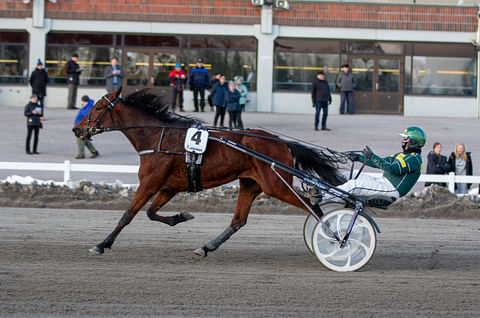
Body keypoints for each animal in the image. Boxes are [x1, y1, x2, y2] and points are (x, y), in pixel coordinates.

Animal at [72, 88, 344, 258]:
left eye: (97, 107)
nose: (77, 129)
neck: (158, 137)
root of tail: (281, 142)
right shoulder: (168, 186)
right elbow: (150, 212)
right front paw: (181, 216)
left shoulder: (149, 183)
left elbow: (127, 215)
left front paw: (101, 244)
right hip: (251, 183)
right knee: (238, 220)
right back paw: (206, 247)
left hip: (274, 185)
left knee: (313, 206)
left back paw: (335, 236)